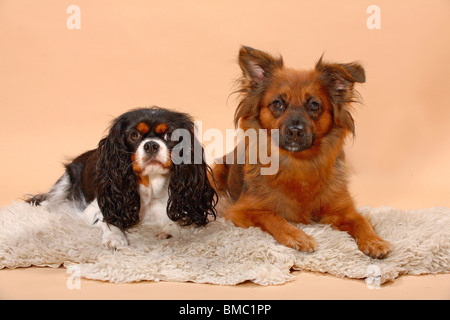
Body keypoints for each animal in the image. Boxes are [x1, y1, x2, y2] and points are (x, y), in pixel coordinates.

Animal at [213, 46, 392, 258]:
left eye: (314, 105)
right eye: (277, 103)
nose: (295, 131)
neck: (299, 163)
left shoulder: (344, 209)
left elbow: (361, 221)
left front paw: (374, 240)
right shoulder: (239, 211)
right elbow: (271, 215)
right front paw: (298, 236)